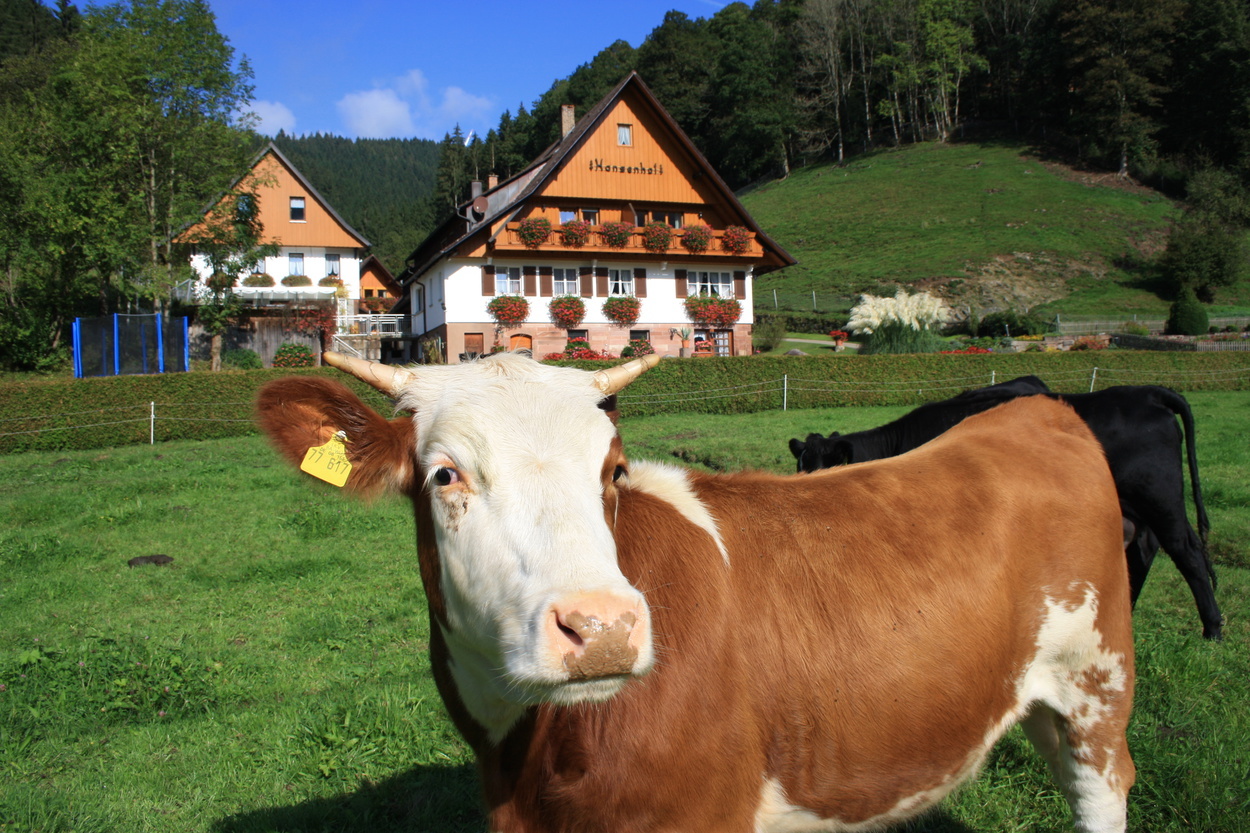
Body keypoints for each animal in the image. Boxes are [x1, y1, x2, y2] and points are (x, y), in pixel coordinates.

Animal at [258, 352, 1135, 833]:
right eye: (445, 474)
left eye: (612, 470)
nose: (604, 627)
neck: (525, 756)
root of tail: (1035, 408)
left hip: (1098, 686)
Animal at [788, 378, 1222, 640]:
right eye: (799, 467)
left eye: (825, 471)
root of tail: (1147, 392)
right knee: (1144, 549)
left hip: (1160, 497)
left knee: (1188, 553)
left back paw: (1212, 629)